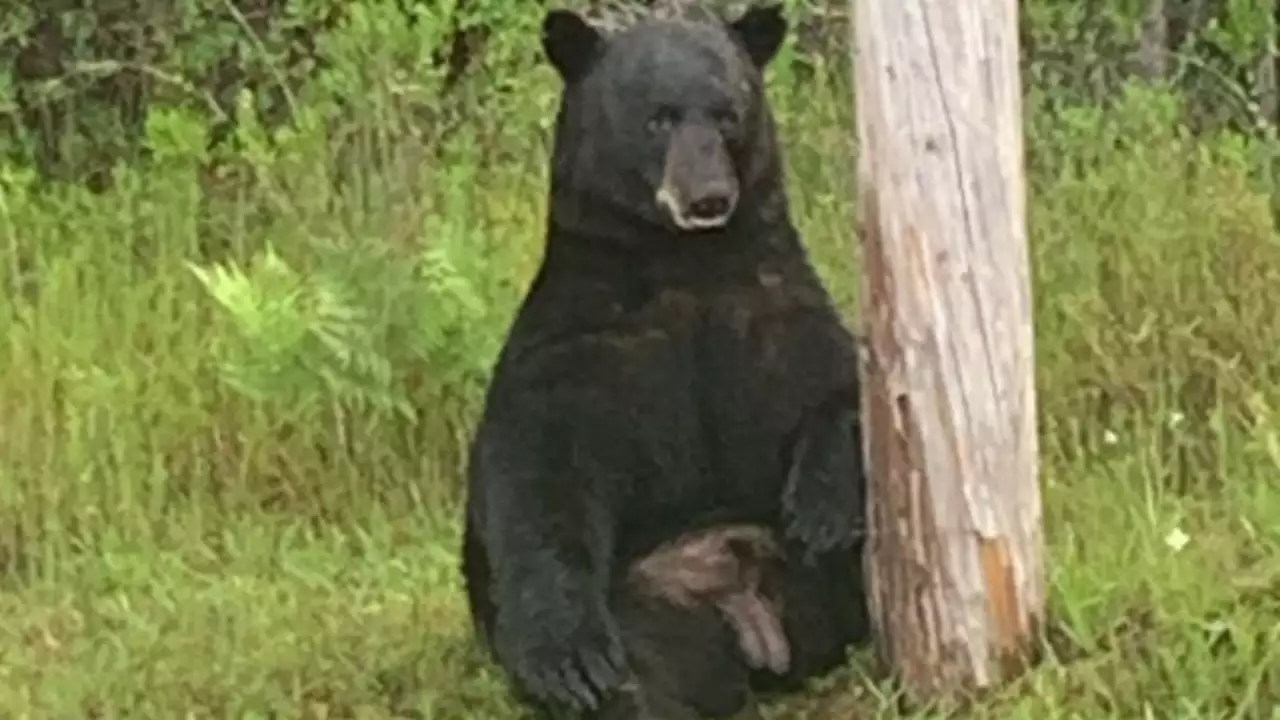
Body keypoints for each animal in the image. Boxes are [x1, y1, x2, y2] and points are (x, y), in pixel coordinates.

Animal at [460, 2, 870, 712]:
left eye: (728, 112)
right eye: (657, 117)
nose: (707, 197)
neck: (686, 263)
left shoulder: (774, 309)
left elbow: (840, 384)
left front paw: (820, 507)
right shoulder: (581, 344)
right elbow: (538, 475)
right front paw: (569, 660)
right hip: (653, 607)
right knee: (645, 671)